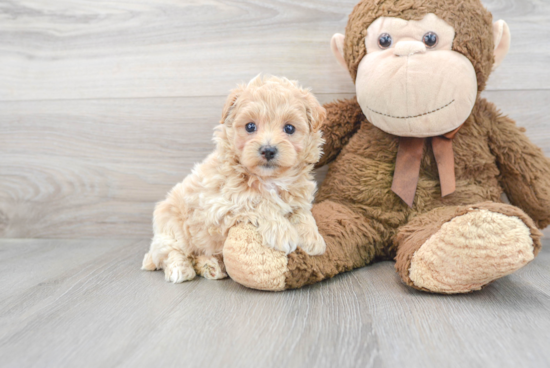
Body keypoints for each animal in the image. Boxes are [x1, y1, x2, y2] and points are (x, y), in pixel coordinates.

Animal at [141, 74, 328, 282]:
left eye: (289, 128)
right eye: (250, 126)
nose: (268, 150)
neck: (269, 179)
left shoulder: (298, 196)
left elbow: (302, 213)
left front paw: (313, 238)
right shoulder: (218, 204)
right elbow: (259, 202)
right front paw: (283, 233)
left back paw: (210, 265)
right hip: (172, 229)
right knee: (169, 252)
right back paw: (180, 269)